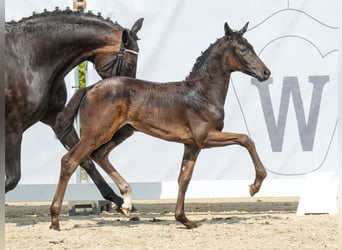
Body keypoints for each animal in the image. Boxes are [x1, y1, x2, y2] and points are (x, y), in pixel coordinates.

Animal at [5, 7, 144, 209]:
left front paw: (117, 199)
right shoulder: (12, 129)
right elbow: (12, 179)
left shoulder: (56, 119)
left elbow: (85, 160)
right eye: (129, 64)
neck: (29, 58)